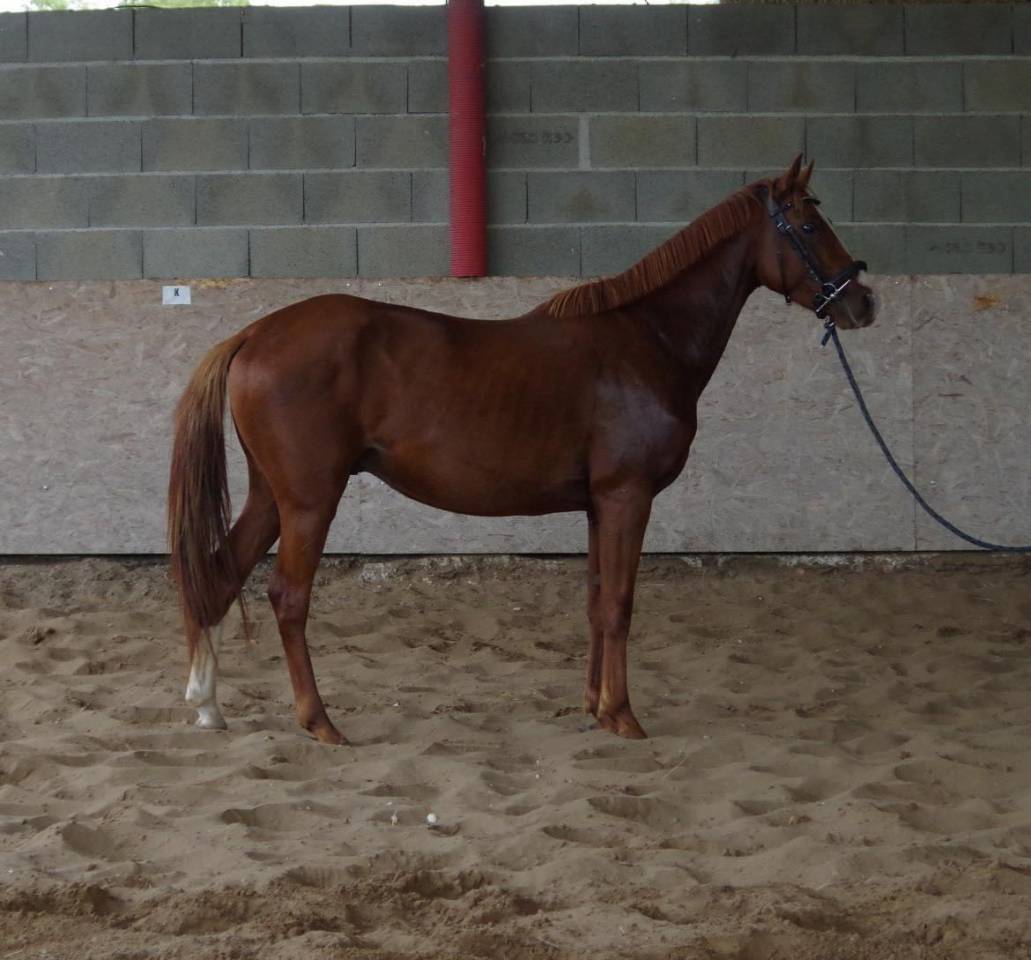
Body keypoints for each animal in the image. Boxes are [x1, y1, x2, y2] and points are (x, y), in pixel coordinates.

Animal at [168, 155, 874, 745]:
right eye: (808, 225)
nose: (863, 302)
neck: (648, 338)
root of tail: (254, 334)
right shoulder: (628, 497)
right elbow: (620, 604)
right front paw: (624, 715)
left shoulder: (598, 506)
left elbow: (596, 601)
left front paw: (596, 706)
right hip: (310, 501)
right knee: (287, 598)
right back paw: (319, 722)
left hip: (272, 496)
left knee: (220, 576)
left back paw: (208, 706)